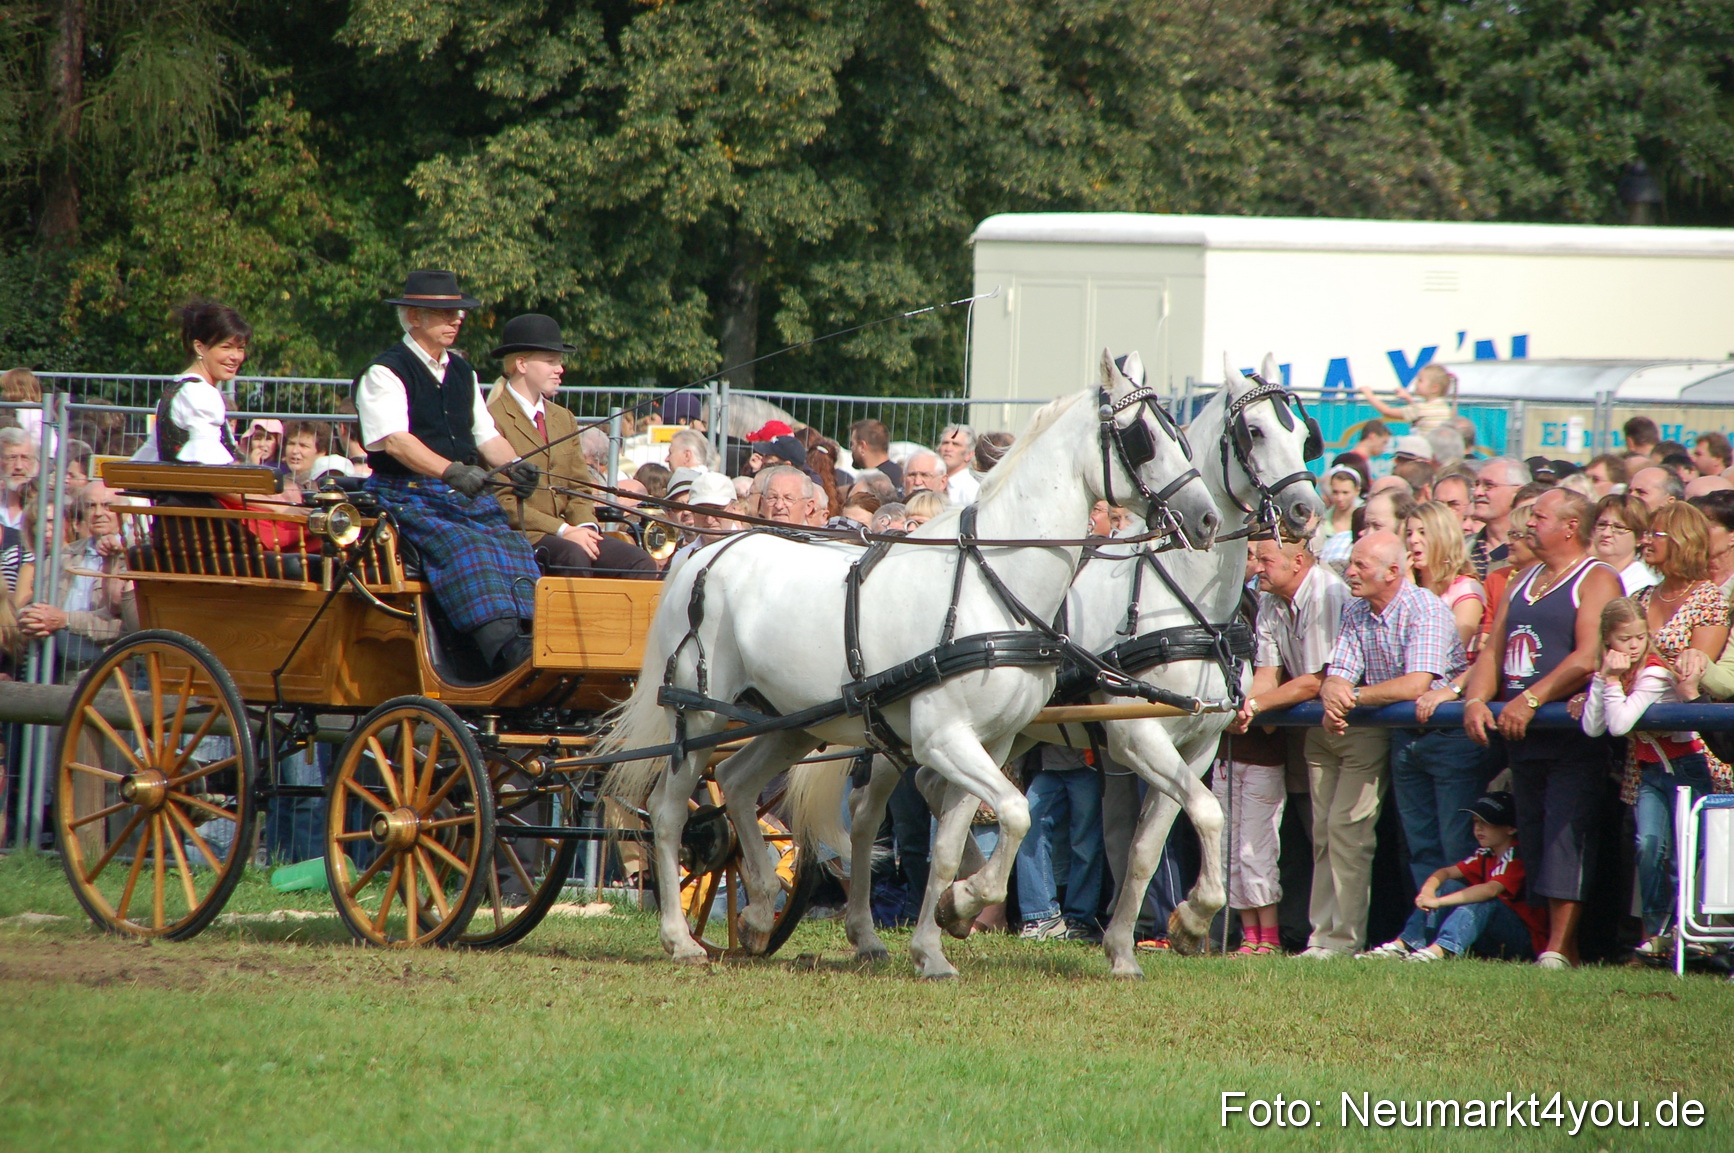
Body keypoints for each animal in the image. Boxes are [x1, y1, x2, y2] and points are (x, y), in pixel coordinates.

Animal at [601, 350, 1219, 977]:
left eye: (1178, 433)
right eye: (1144, 438)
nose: (1206, 519)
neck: (992, 581)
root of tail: (702, 554)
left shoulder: (989, 742)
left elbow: (951, 845)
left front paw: (937, 938)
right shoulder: (943, 738)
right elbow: (1016, 812)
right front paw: (962, 905)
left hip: (793, 723)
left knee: (736, 782)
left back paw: (756, 911)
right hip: (698, 715)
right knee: (671, 811)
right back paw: (681, 937)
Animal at [811, 354, 1322, 977]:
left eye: (1303, 434)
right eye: (1254, 432)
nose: (1306, 510)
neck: (1183, 598)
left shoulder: (1197, 745)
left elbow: (1153, 845)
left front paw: (1132, 944)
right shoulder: (1138, 738)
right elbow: (1205, 814)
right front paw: (1193, 918)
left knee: (936, 792)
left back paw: (954, 895)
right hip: (896, 730)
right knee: (865, 814)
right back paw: (872, 929)